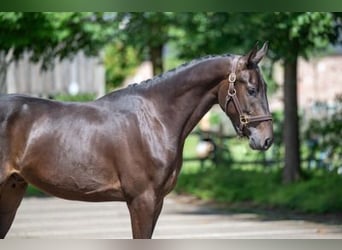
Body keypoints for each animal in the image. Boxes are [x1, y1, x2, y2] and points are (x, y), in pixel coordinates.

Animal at [0, 42, 272, 238]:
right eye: (252, 90)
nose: (266, 139)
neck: (155, 118)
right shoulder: (142, 200)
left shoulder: (157, 202)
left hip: (13, 188)